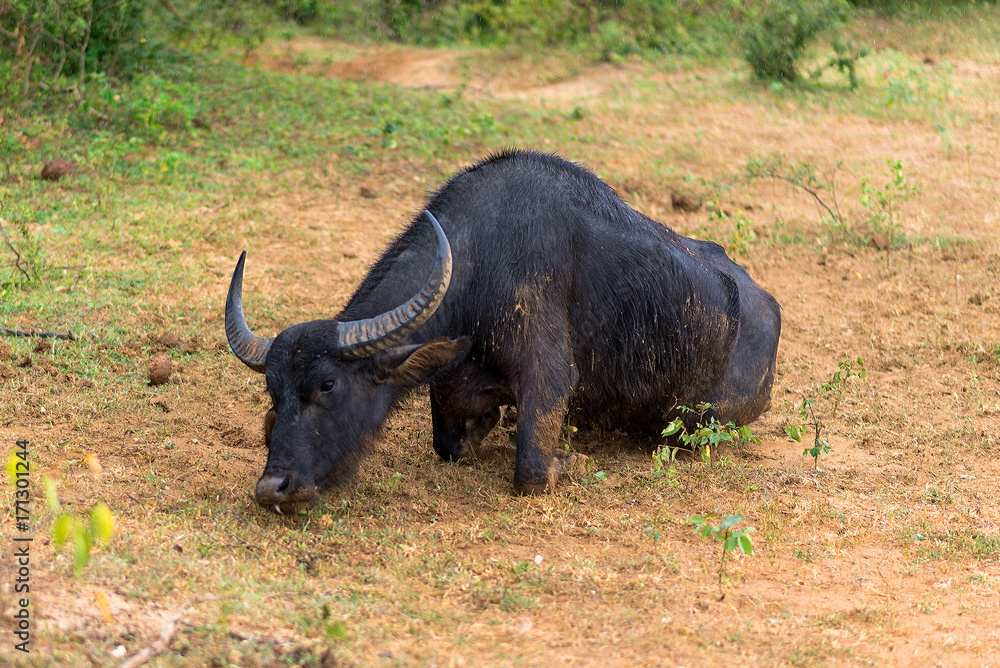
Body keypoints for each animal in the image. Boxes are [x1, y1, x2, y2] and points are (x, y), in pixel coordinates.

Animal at [226, 150, 781, 514]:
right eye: (273, 393)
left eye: (328, 385)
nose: (273, 488)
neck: (479, 259)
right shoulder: (451, 381)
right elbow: (450, 443)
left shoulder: (549, 376)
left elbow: (532, 471)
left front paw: (571, 460)